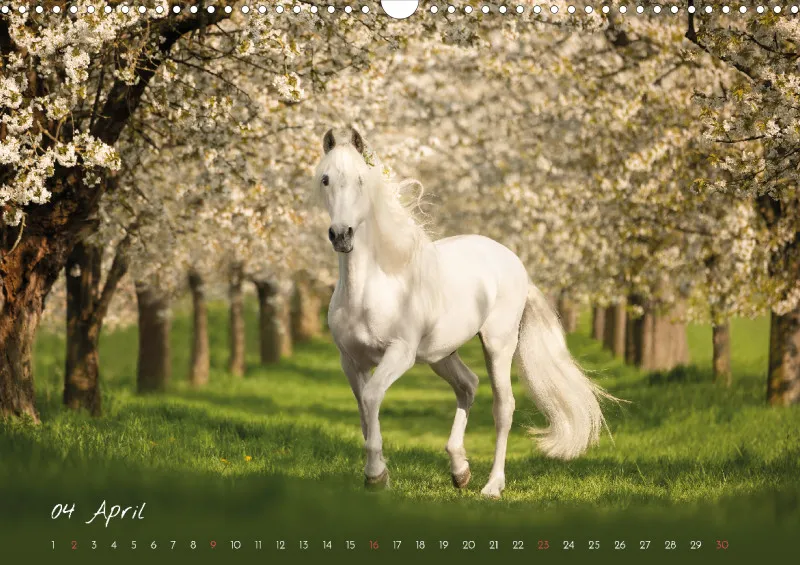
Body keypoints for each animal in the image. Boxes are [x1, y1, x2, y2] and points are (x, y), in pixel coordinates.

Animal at [313, 127, 615, 498]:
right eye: (325, 179)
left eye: (360, 179)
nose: (341, 235)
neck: (370, 289)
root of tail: (514, 262)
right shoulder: (350, 361)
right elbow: (364, 413)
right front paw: (379, 473)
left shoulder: (400, 354)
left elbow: (372, 399)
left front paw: (376, 476)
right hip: (441, 354)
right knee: (468, 385)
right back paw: (460, 471)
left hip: (498, 346)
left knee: (503, 407)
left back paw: (492, 486)